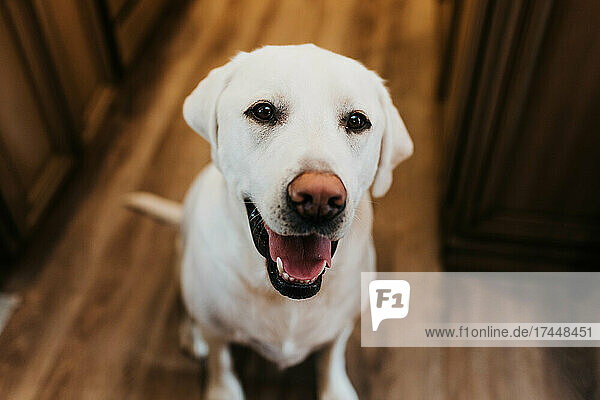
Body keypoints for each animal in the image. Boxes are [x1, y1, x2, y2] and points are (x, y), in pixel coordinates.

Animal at [126, 44, 408, 400]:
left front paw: (335, 388)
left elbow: (332, 352)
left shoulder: (343, 324)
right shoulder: (216, 328)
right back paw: (193, 335)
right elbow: (220, 358)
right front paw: (222, 388)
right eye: (263, 111)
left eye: (357, 120)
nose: (318, 198)